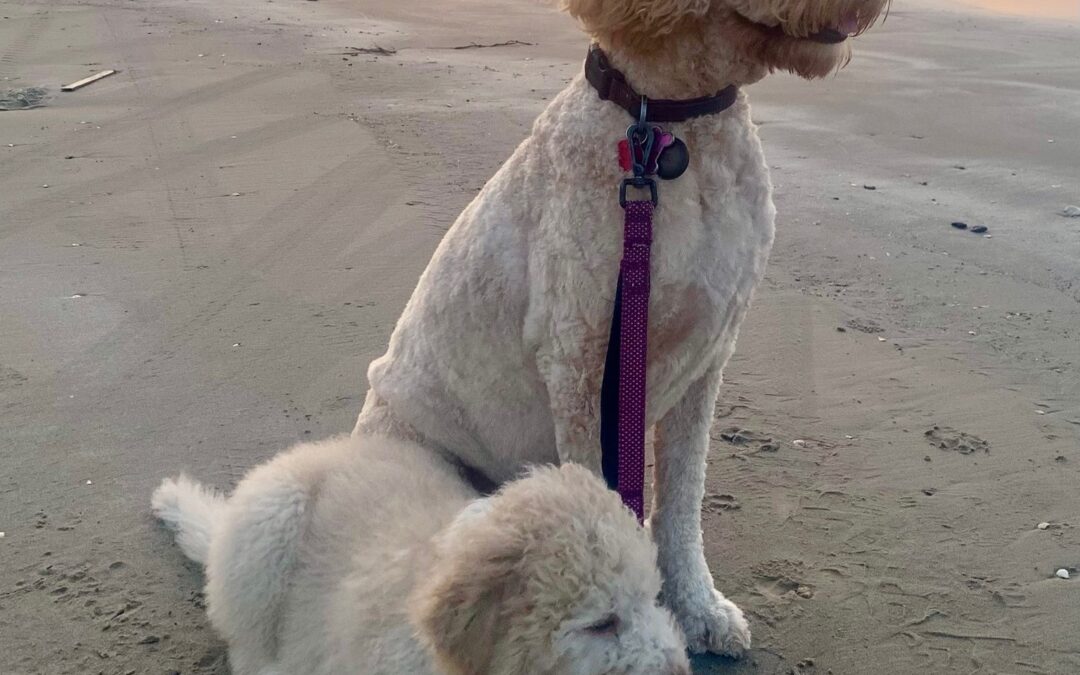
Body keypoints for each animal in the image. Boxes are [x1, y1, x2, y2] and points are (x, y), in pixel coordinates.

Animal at [354, 0, 885, 656]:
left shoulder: (708, 355)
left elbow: (682, 500)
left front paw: (698, 608)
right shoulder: (581, 362)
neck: (669, 129)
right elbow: (605, 500)